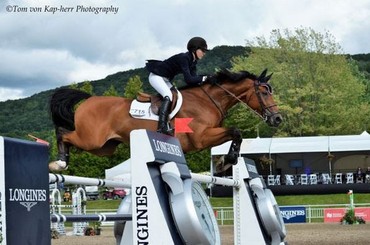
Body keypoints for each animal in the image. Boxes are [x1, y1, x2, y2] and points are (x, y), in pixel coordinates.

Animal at [48, 68, 280, 171]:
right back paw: (59, 162)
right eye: (264, 92)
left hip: (104, 147)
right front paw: (228, 160)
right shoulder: (201, 138)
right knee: (62, 133)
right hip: (92, 139)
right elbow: (236, 131)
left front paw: (225, 161)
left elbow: (235, 134)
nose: (277, 119)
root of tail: (88, 100)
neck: (208, 100)